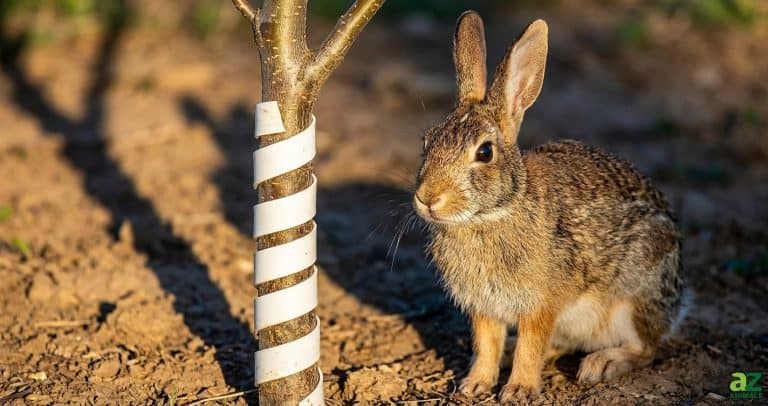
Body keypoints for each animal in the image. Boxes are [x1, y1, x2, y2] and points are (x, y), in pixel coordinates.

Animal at [412, 11, 687, 403]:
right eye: (427, 141)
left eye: (485, 152)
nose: (428, 198)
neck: (492, 214)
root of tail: (677, 302)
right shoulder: (484, 308)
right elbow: (486, 345)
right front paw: (474, 384)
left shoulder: (541, 305)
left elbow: (532, 346)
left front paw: (519, 390)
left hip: (634, 297)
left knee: (646, 348)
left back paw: (603, 363)